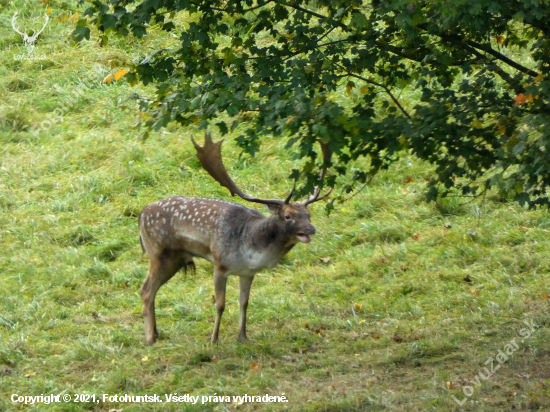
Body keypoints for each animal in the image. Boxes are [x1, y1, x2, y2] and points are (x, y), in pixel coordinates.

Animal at [140, 133, 330, 344]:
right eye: (288, 216)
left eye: (308, 214)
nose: (311, 229)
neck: (251, 249)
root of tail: (141, 214)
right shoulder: (220, 264)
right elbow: (220, 304)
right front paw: (214, 339)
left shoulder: (247, 273)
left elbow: (244, 302)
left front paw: (243, 336)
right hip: (159, 253)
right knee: (146, 290)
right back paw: (150, 338)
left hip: (176, 259)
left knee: (149, 290)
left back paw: (156, 333)